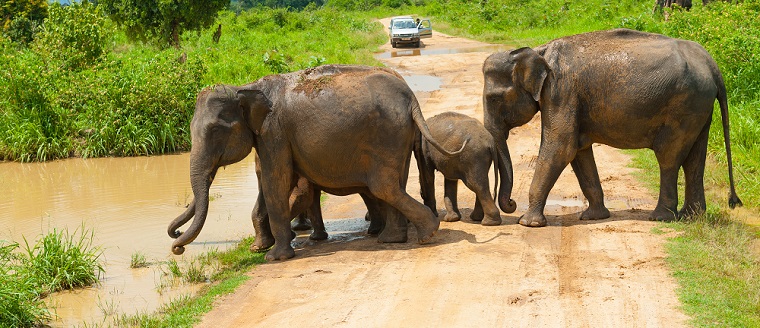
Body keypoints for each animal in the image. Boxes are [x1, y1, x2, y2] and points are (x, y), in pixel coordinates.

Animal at [167, 63, 464, 258]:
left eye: (215, 132)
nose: (177, 245)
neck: (245, 88)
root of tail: (411, 97)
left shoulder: (274, 131)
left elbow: (277, 182)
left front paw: (275, 257)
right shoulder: (270, 137)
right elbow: (270, 181)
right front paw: (259, 248)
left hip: (387, 133)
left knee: (384, 186)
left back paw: (426, 234)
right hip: (398, 135)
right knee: (393, 184)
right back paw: (393, 239)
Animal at [480, 28, 744, 228]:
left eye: (493, 98)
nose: (511, 204)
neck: (537, 51)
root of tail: (711, 64)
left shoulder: (561, 92)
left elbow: (561, 147)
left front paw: (528, 224)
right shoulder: (569, 98)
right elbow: (579, 151)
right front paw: (593, 217)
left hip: (684, 105)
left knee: (669, 156)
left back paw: (661, 218)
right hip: (700, 106)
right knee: (694, 159)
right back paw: (692, 217)